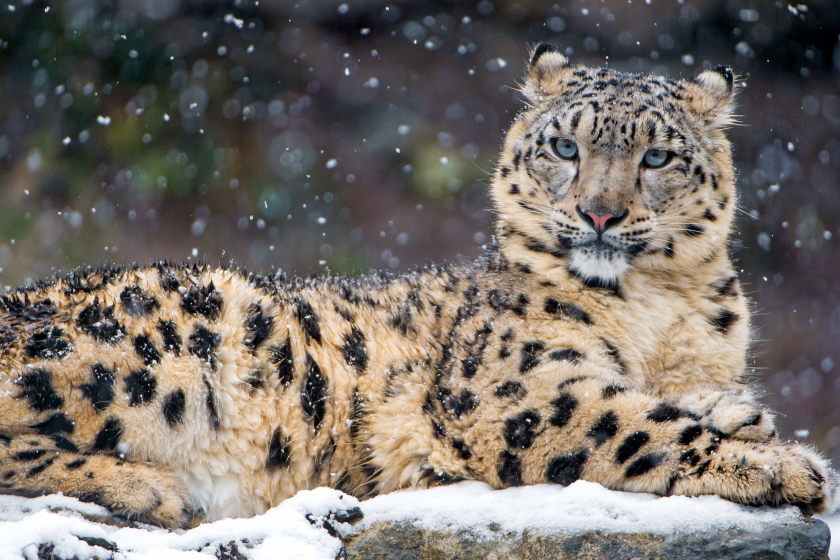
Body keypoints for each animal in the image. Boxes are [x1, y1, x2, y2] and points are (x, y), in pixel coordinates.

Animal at [0, 44, 836, 529]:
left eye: (657, 157)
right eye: (564, 147)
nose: (599, 213)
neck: (660, 309)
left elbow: (670, 397)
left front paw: (743, 415)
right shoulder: (513, 389)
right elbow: (633, 423)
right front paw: (785, 467)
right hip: (170, 337)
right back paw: (151, 489)